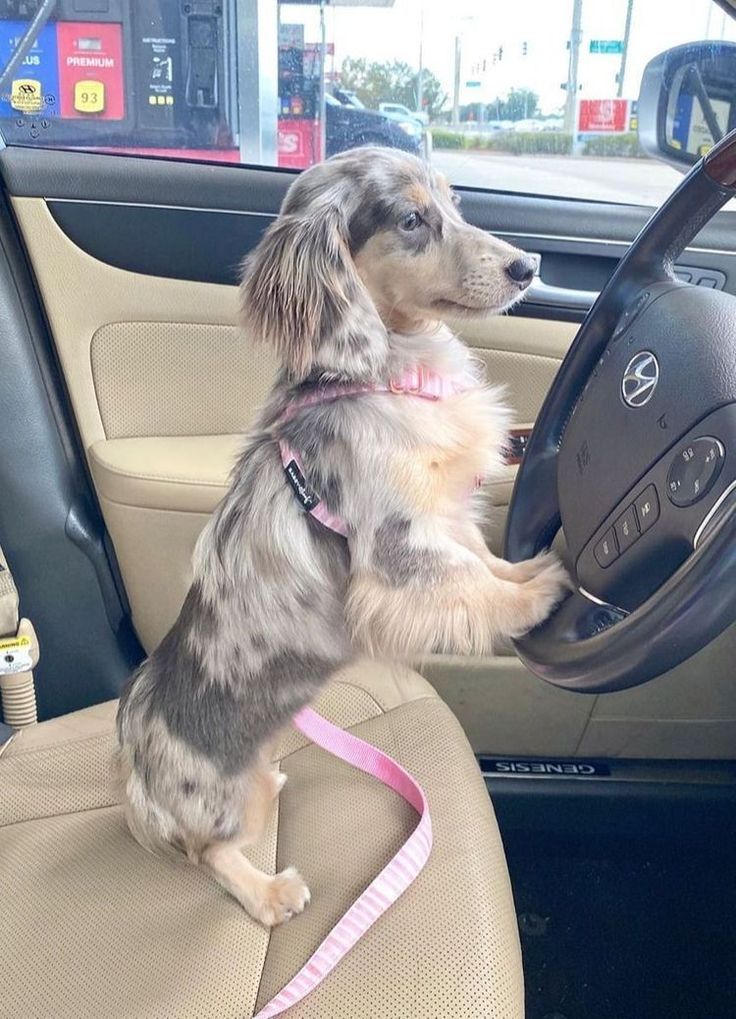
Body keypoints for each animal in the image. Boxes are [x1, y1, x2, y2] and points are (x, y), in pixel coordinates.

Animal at [117, 147, 566, 929]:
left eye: (455, 202)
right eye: (412, 219)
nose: (528, 264)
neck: (383, 377)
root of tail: (134, 767)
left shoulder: (445, 520)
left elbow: (483, 567)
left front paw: (530, 569)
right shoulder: (396, 546)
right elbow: (468, 582)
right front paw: (543, 592)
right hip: (221, 800)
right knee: (210, 853)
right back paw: (268, 892)